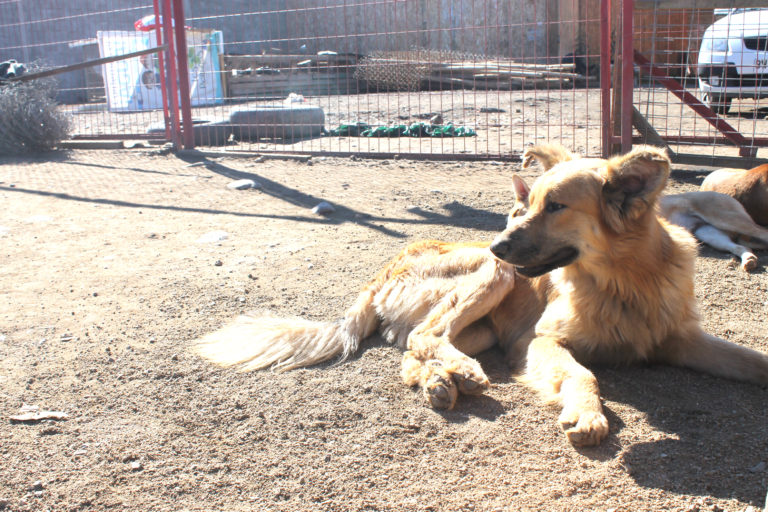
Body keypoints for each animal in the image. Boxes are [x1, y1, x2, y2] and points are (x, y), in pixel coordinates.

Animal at [194, 144, 768, 444]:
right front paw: (587, 413)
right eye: (525, 206)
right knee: (426, 336)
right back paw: (460, 376)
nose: (497, 240)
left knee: (412, 353)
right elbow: (583, 372)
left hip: (485, 324)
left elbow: (753, 361)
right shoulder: (539, 341)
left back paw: (439, 383)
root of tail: (383, 270)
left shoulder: (678, 339)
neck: (623, 280)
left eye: (555, 206)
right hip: (493, 279)